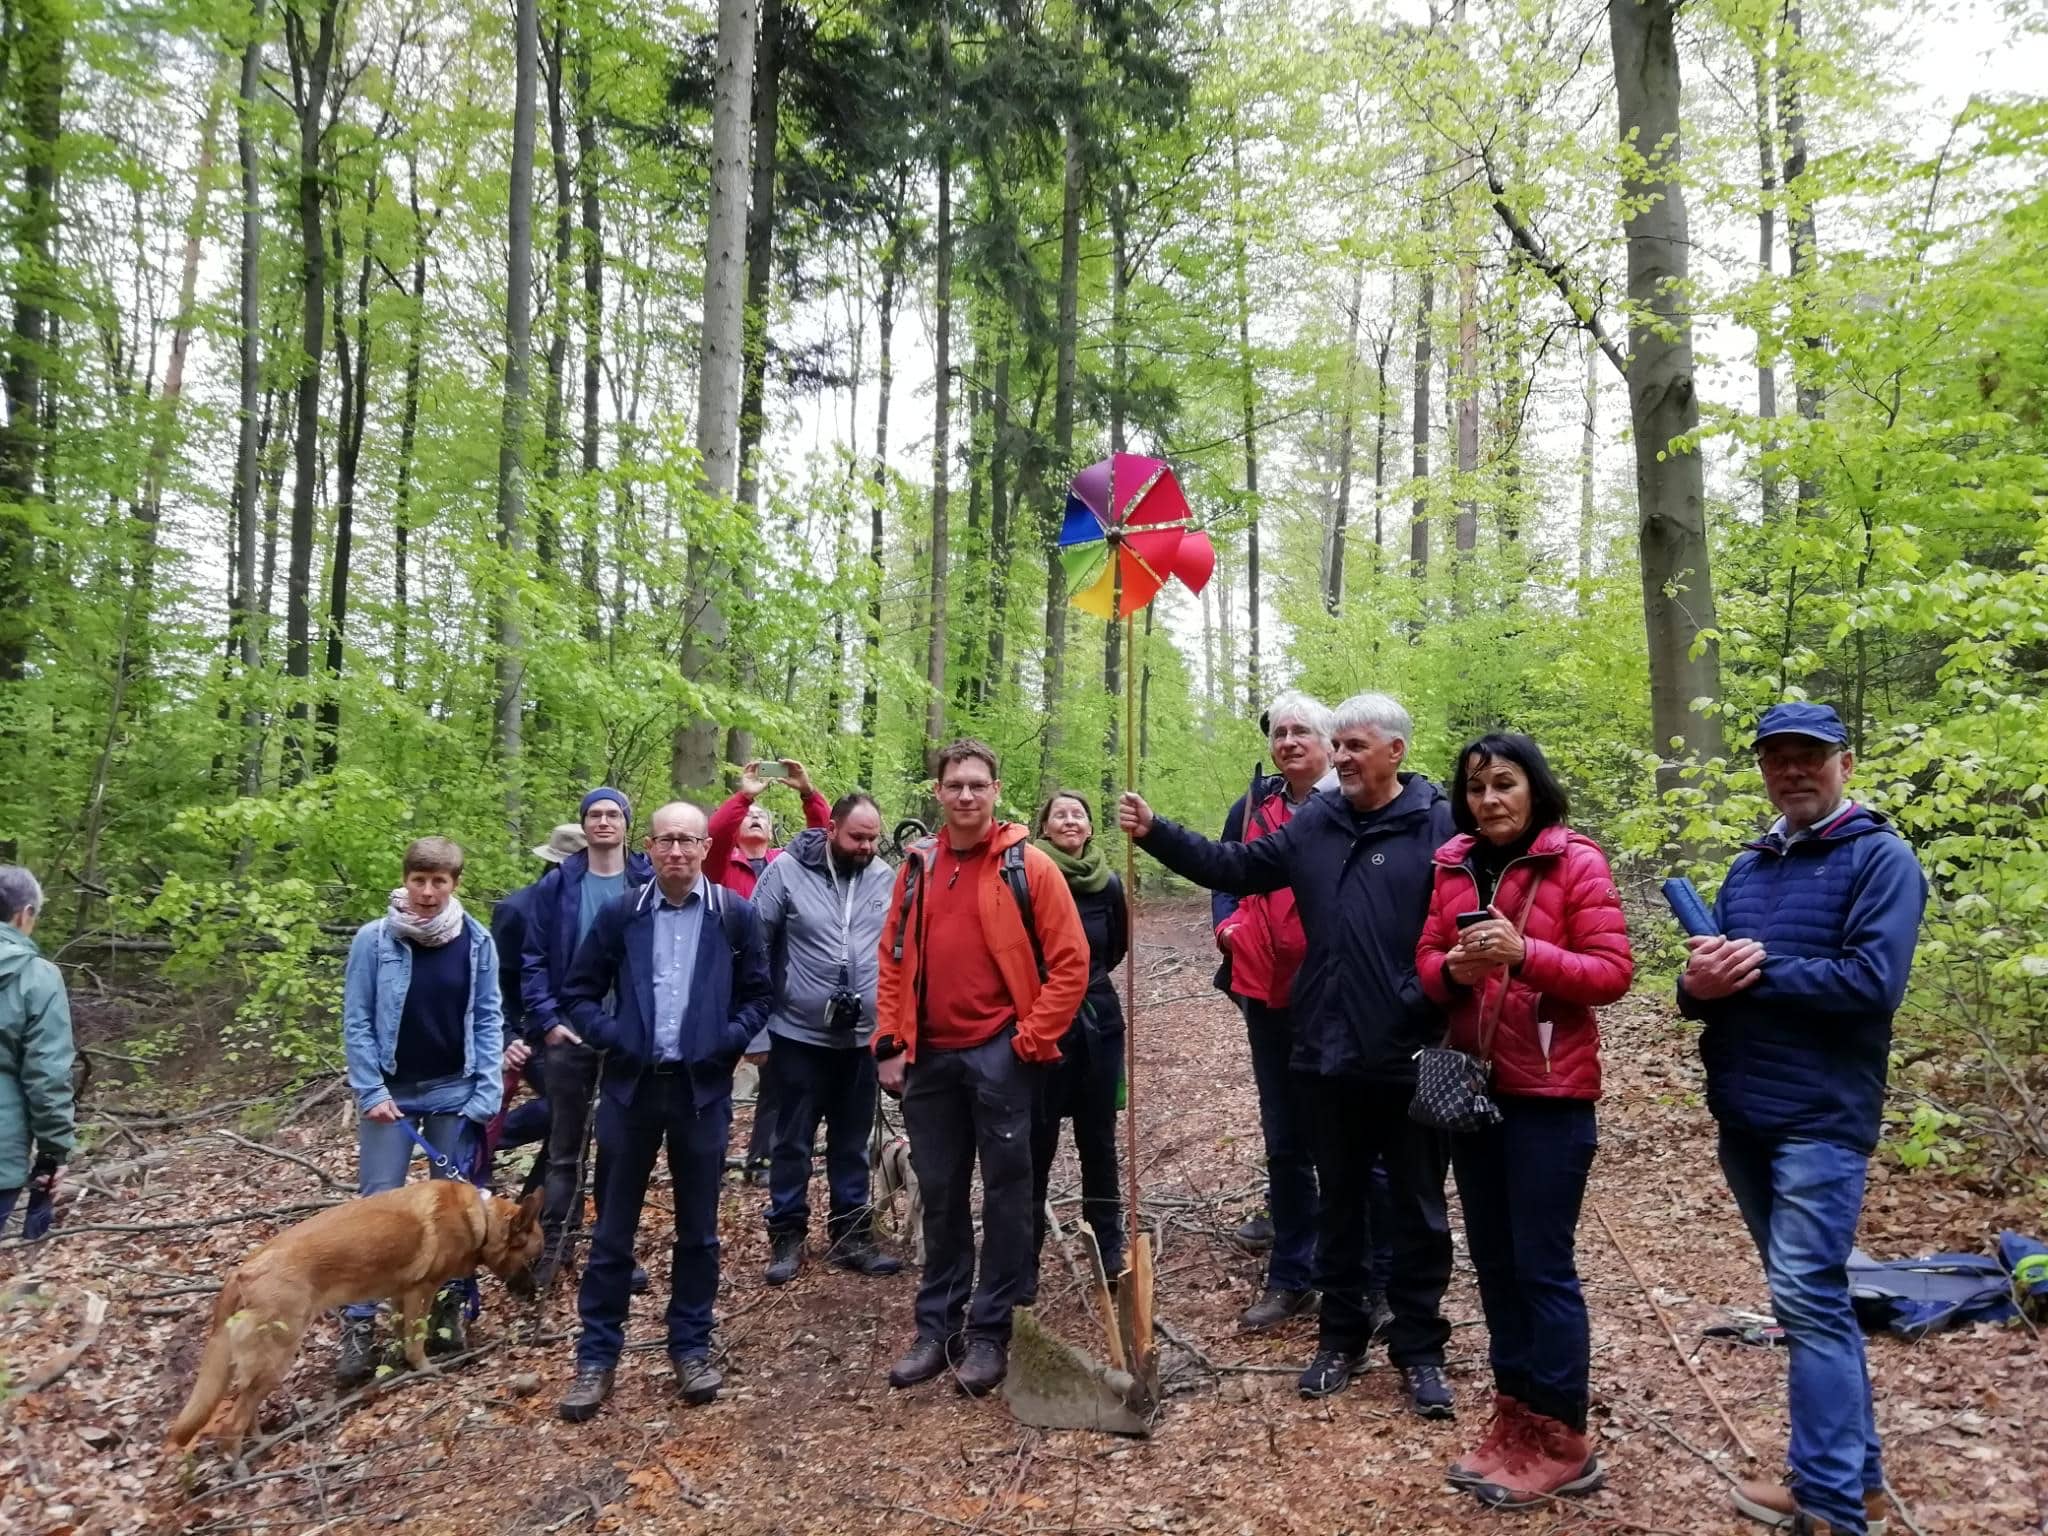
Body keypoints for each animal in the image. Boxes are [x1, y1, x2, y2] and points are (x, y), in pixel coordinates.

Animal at [164, 1187, 544, 1458]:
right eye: (533, 1258)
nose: (537, 1294)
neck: (480, 1219)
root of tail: (242, 1272)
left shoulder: (399, 1294)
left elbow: (400, 1335)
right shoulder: (420, 1291)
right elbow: (415, 1340)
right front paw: (424, 1369)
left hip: (261, 1364)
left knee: (245, 1407)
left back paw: (258, 1443)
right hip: (278, 1356)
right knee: (231, 1423)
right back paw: (242, 1464)